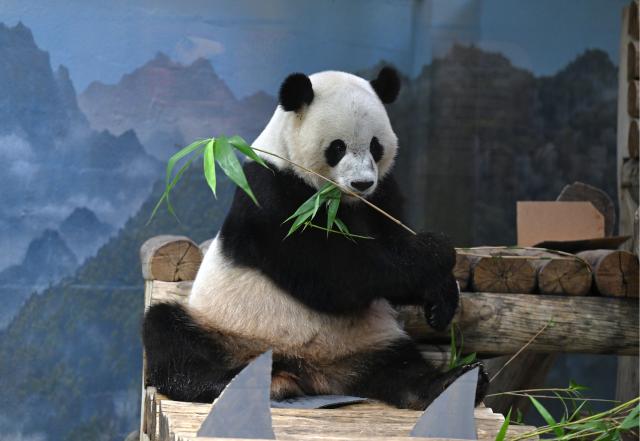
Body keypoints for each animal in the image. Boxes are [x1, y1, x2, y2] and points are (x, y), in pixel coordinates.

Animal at [142, 67, 488, 409]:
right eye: (338, 147)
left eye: (375, 145)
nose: (362, 183)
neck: (339, 199)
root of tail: (311, 372)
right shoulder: (271, 193)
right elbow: (331, 272)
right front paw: (438, 250)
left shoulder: (383, 193)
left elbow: (389, 245)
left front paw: (442, 299)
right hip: (226, 330)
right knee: (170, 333)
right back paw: (235, 383)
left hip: (369, 341)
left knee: (401, 366)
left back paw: (454, 383)